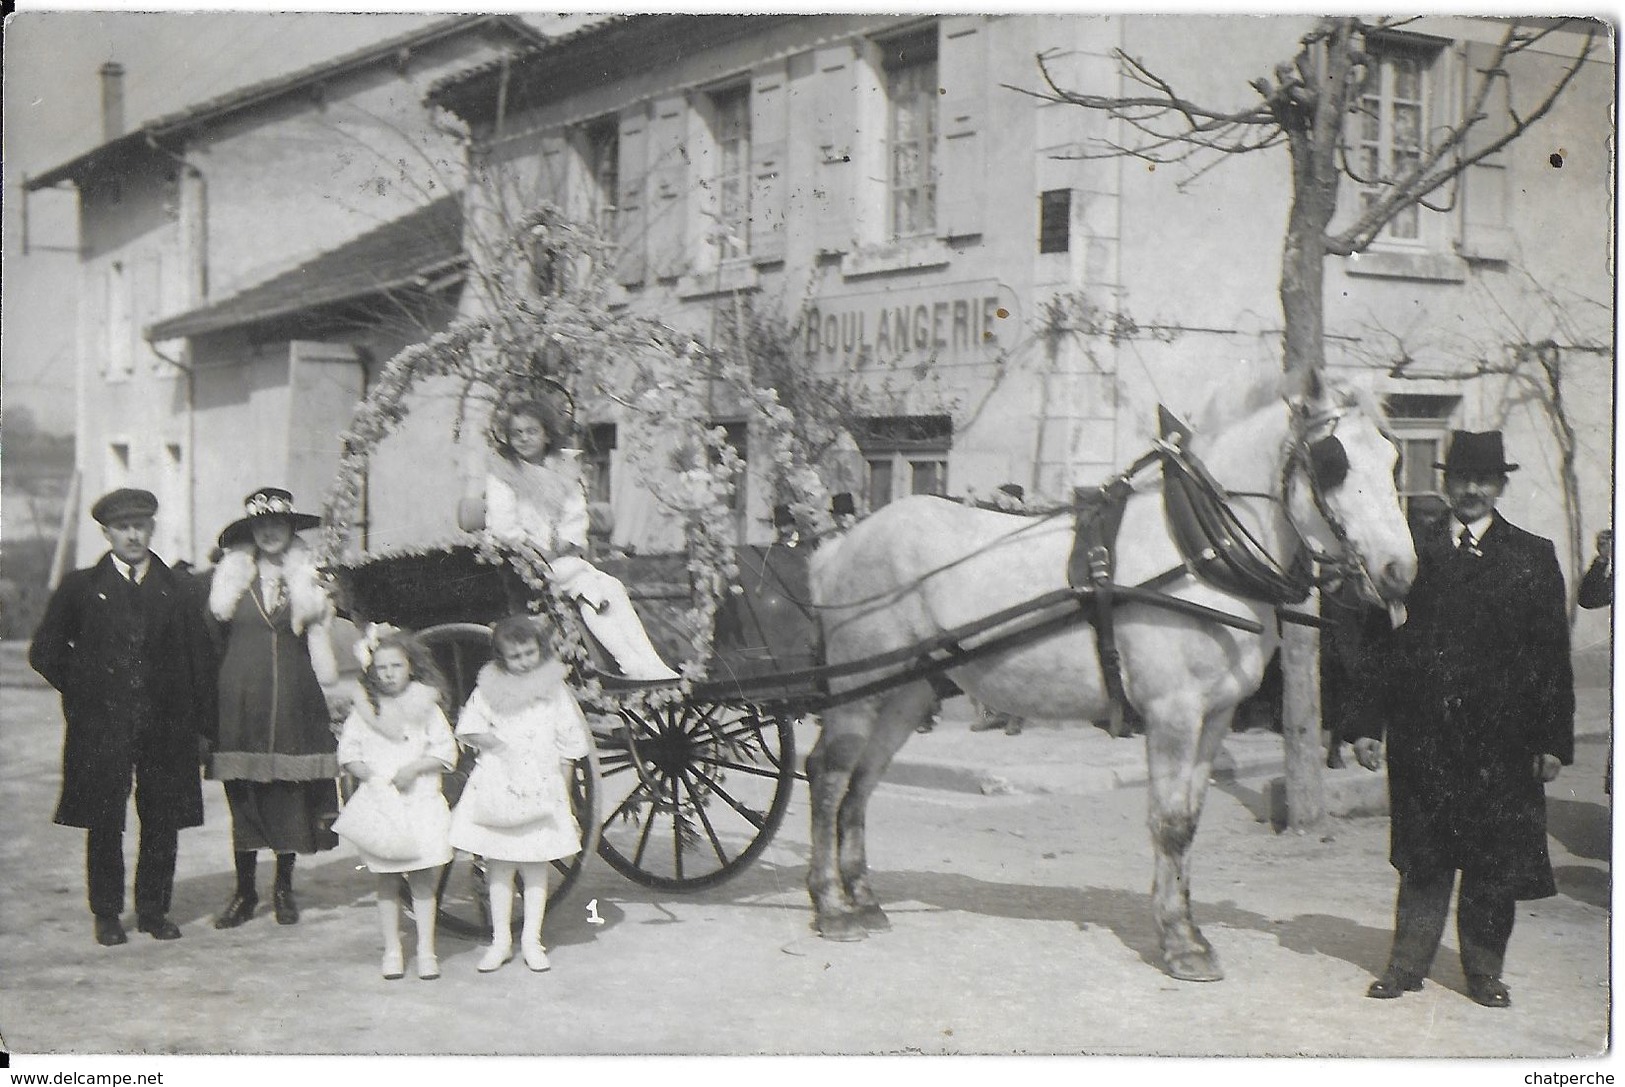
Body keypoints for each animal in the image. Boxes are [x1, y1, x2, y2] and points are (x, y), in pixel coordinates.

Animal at [806, 362, 1417, 974]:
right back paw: (832, 907)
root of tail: (836, 548)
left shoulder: (1216, 714)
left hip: (907, 693)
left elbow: (1191, 819)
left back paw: (863, 898)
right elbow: (1169, 822)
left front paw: (1189, 928)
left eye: (1394, 459)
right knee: (829, 776)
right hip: (858, 689)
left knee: (862, 781)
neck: (1197, 552)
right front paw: (1178, 940)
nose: (1400, 572)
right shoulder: (1172, 711)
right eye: (1333, 461)